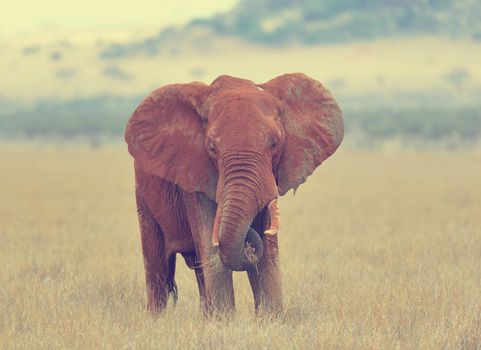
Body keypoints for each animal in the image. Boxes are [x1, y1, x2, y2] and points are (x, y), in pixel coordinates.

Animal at [124, 72, 342, 316]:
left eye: (274, 144)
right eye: (211, 147)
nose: (248, 240)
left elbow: (267, 255)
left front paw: (270, 320)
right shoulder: (195, 174)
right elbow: (212, 251)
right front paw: (224, 322)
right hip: (143, 195)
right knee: (158, 268)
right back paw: (157, 320)